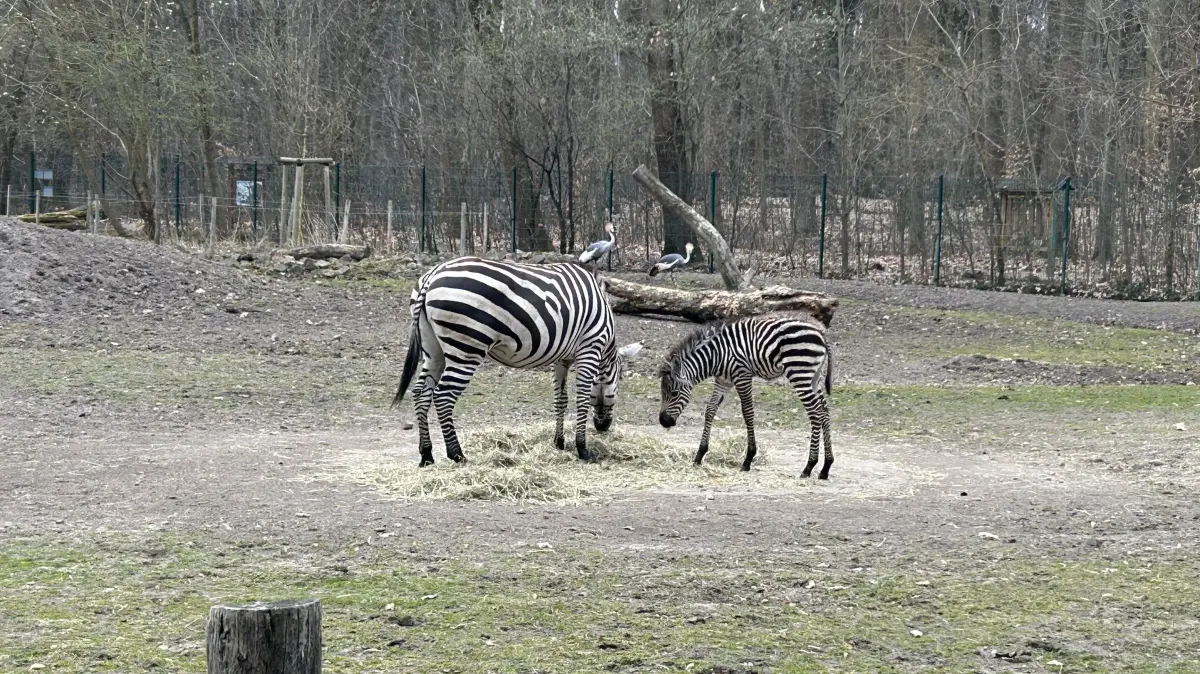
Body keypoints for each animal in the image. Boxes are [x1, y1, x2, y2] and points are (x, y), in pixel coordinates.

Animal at [393, 257, 644, 466]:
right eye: (620, 379)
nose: (603, 427)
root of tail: (433, 273)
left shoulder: (562, 358)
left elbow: (560, 399)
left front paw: (559, 443)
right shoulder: (589, 349)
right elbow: (582, 399)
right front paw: (582, 449)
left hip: (433, 348)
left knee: (421, 393)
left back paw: (426, 454)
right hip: (466, 347)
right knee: (443, 395)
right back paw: (457, 454)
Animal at [657, 314, 834, 478]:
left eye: (674, 393)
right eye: (662, 393)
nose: (663, 422)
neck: (716, 355)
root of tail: (820, 333)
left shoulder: (742, 375)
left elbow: (747, 413)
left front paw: (748, 459)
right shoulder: (723, 381)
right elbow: (710, 410)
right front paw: (700, 454)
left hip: (799, 372)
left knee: (815, 413)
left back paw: (809, 466)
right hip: (814, 377)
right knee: (824, 412)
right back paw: (826, 467)